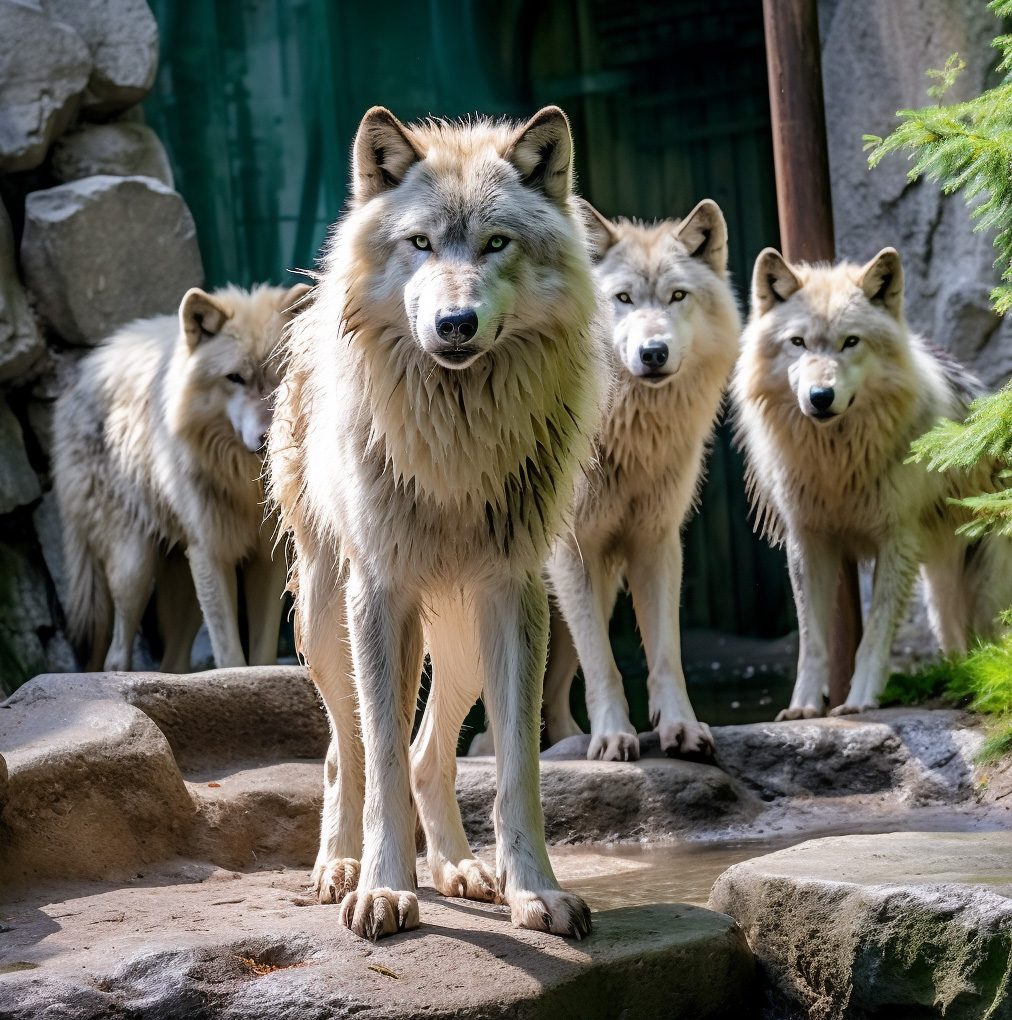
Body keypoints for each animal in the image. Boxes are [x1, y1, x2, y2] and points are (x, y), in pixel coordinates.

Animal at [54, 283, 308, 673]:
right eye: (234, 378)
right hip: (135, 566)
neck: (246, 485)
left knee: (170, 664)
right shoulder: (211, 552)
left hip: (184, 581)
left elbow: (262, 658)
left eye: (281, 374)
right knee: (116, 656)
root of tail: (80, 376)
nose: (268, 436)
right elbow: (231, 658)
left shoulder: (268, 559)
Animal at [267, 105, 608, 938]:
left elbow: (516, 765)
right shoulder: (380, 595)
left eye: (496, 244)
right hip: (331, 617)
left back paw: (460, 870)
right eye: (420, 242)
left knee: (431, 756)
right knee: (348, 752)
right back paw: (340, 866)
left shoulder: (513, 593)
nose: (456, 323)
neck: (456, 448)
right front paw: (385, 890)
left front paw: (535, 893)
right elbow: (382, 760)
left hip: (458, 639)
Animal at [542, 198, 738, 762]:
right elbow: (604, 664)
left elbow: (667, 656)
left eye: (677, 296)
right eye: (623, 298)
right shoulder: (573, 552)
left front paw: (681, 729)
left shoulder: (656, 544)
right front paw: (613, 736)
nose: (654, 352)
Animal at [730, 248, 1012, 718]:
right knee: (962, 645)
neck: (835, 464)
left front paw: (860, 700)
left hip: (987, 590)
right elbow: (812, 643)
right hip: (942, 597)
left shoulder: (895, 539)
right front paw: (805, 708)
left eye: (851, 341)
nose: (820, 397)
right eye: (798, 343)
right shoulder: (808, 542)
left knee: (993, 643)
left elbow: (875, 633)